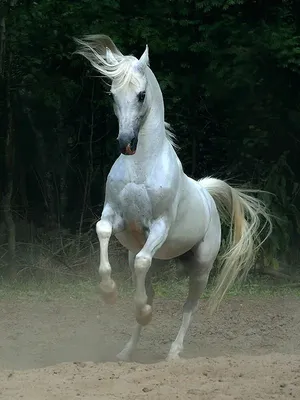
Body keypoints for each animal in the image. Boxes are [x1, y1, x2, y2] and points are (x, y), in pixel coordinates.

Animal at [75, 33, 272, 360]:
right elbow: (103, 232)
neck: (141, 166)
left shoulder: (159, 226)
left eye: (141, 95)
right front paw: (109, 292)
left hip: (201, 268)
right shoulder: (115, 216)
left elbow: (144, 267)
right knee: (148, 284)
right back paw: (127, 351)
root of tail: (206, 193)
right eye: (113, 95)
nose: (125, 143)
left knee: (188, 307)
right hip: (154, 257)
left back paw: (173, 353)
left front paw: (143, 312)